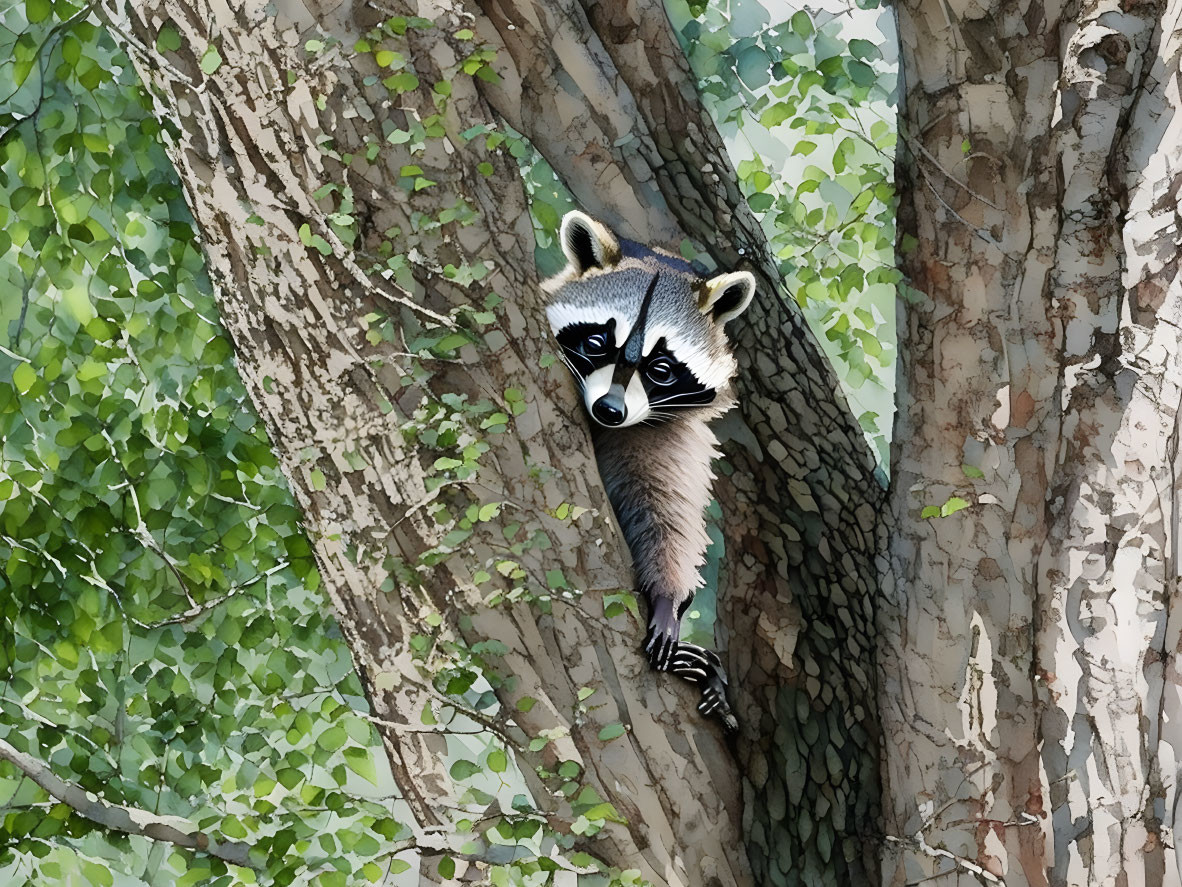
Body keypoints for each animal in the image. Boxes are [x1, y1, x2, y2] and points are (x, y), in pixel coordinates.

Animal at [541, 210, 751, 728]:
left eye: (660, 368)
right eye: (598, 341)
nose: (610, 410)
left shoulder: (666, 436)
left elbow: (665, 515)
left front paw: (667, 596)